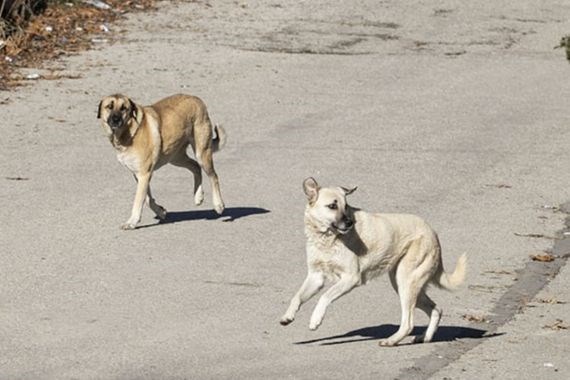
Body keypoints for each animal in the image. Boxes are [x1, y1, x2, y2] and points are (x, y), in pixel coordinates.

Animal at [97, 93, 224, 229]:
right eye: (109, 107)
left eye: (123, 108)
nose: (115, 120)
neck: (129, 132)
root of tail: (197, 99)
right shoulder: (139, 175)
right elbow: (147, 199)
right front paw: (161, 211)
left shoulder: (144, 174)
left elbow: (139, 200)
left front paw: (132, 221)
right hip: (175, 158)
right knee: (195, 166)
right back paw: (198, 196)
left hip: (201, 153)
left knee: (213, 176)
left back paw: (218, 205)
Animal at [280, 177, 466, 346]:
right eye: (332, 206)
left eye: (346, 206)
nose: (350, 223)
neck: (327, 238)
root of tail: (433, 233)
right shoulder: (316, 277)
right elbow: (297, 297)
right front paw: (288, 316)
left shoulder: (351, 278)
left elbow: (325, 297)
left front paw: (315, 319)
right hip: (404, 284)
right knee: (436, 309)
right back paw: (425, 337)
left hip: (406, 282)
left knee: (408, 323)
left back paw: (392, 340)